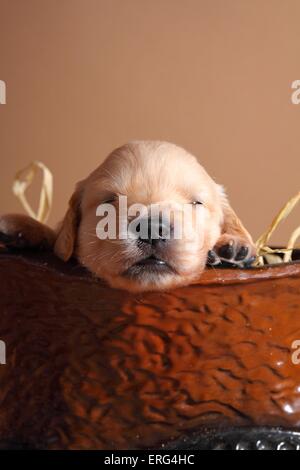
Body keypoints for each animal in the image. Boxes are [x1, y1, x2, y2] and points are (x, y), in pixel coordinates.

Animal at [0, 141, 255, 292]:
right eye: (109, 201)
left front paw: (233, 247)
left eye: (195, 202)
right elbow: (56, 239)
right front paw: (21, 227)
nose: (152, 229)